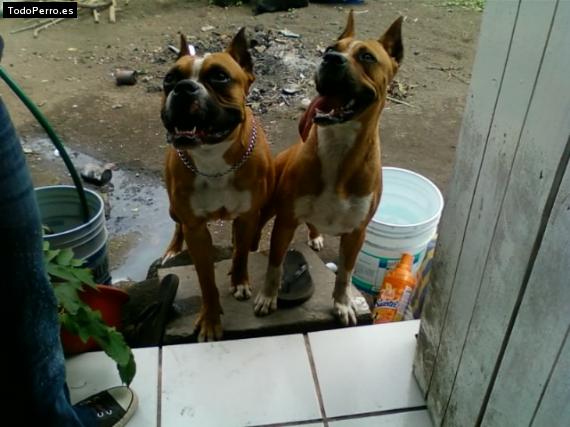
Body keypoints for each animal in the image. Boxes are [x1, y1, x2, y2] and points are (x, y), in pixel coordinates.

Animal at [161, 29, 275, 341]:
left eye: (220, 76)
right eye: (169, 79)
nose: (183, 88)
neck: (213, 159)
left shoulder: (249, 216)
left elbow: (241, 254)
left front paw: (239, 280)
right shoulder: (196, 231)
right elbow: (206, 281)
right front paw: (210, 321)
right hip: (174, 210)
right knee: (177, 225)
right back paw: (173, 249)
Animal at [254, 11, 403, 324]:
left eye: (367, 56)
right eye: (330, 48)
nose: (331, 59)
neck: (339, 144)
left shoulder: (356, 233)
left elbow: (345, 274)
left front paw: (342, 304)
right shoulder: (285, 220)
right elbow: (275, 264)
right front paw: (268, 296)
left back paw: (316, 236)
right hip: (270, 206)